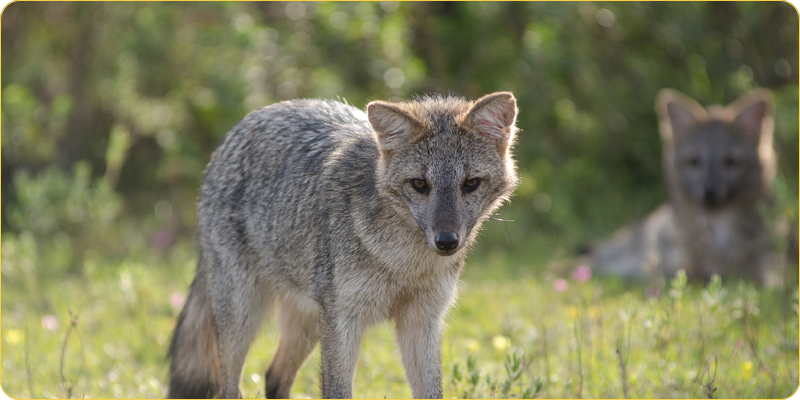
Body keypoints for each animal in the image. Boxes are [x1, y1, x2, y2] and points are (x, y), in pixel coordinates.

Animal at [167, 92, 520, 398]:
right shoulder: (342, 321)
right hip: (245, 315)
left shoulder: (422, 321)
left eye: (470, 183)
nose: (446, 242)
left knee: (274, 377)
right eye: (420, 184)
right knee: (230, 388)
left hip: (305, 324)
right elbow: (337, 391)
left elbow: (433, 392)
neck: (402, 264)